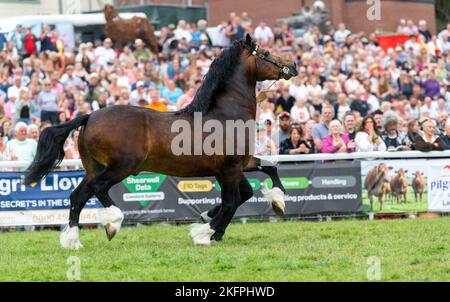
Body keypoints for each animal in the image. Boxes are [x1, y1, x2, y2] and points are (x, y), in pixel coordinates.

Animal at [25, 34, 298, 249]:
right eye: (265, 53)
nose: (293, 65)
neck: (224, 115)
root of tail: (90, 116)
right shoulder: (230, 168)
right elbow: (231, 202)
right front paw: (204, 233)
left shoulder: (237, 165)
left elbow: (266, 172)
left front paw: (277, 201)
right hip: (122, 167)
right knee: (97, 188)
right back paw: (112, 222)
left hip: (94, 167)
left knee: (78, 196)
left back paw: (73, 240)